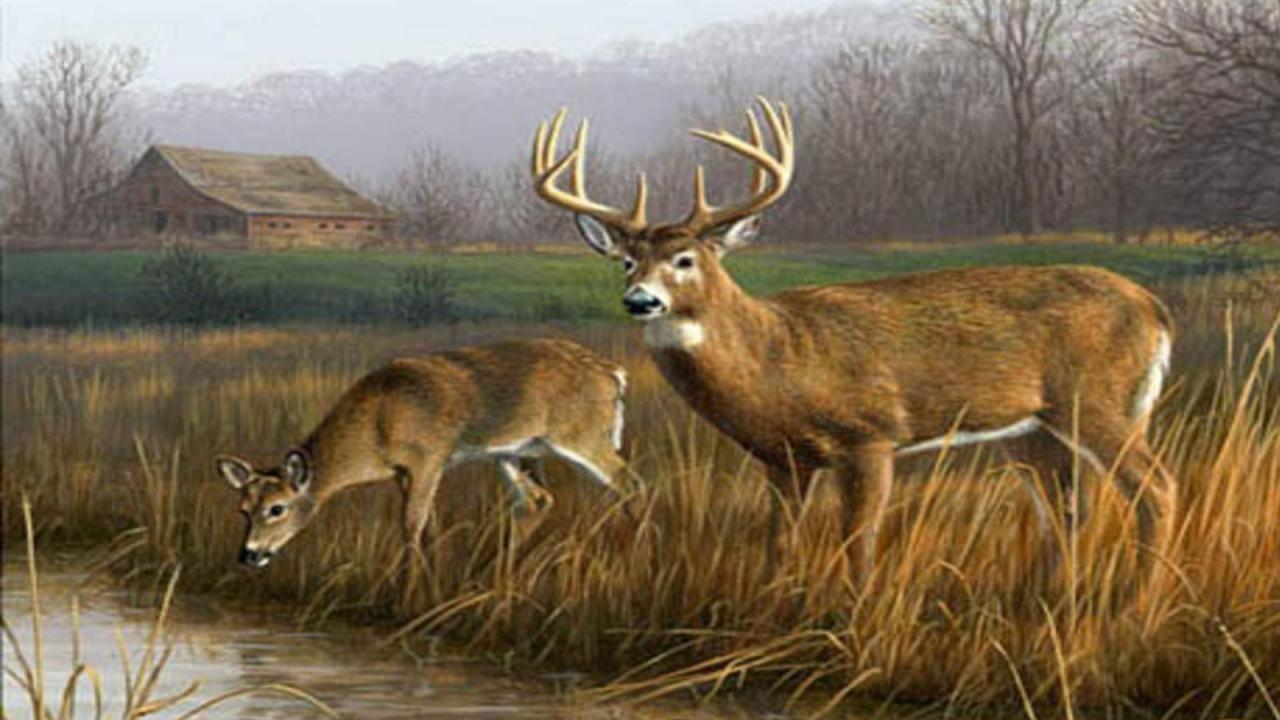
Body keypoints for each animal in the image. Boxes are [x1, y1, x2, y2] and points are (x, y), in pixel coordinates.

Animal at [216, 338, 628, 569]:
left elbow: (411, 525)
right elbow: (428, 525)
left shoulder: (429, 458)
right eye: (243, 510)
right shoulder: (405, 472)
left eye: (277, 508)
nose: (249, 555)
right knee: (537, 500)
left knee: (628, 481)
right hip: (516, 451)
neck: (375, 429)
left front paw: (407, 590)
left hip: (584, 434)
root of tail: (614, 374)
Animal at [528, 98, 1177, 589]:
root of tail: (1156, 309)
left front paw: (851, 620)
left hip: (1098, 401)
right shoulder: (783, 459)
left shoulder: (871, 436)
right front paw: (778, 610)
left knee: (1155, 489)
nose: (640, 301)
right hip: (1032, 431)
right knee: (1069, 510)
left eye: (685, 259)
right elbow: (780, 545)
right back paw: (1050, 601)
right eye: (626, 262)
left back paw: (1136, 603)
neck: (779, 360)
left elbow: (857, 545)